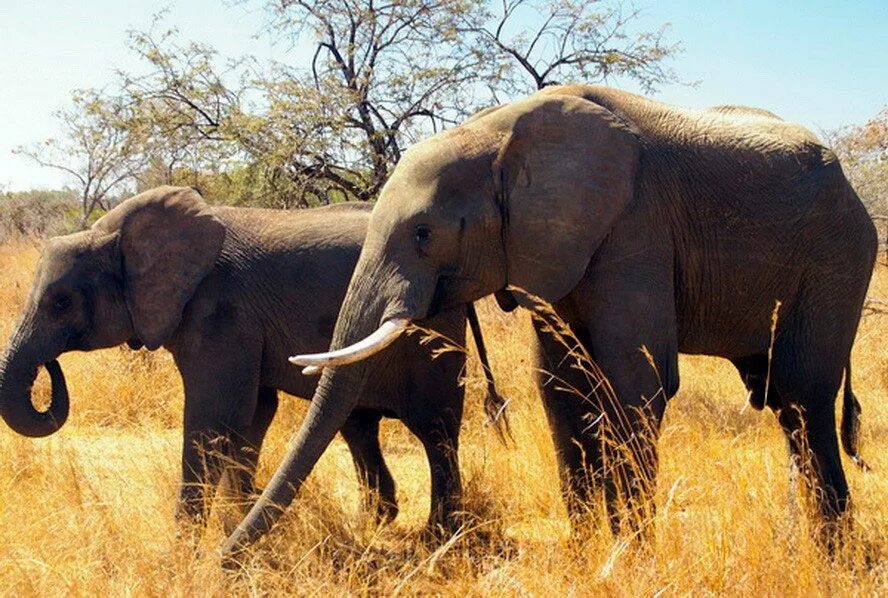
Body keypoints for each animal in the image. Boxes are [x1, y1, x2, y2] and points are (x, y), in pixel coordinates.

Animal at [0, 186, 506, 536]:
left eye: (61, 303)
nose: (49, 368)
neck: (114, 234)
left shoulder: (220, 312)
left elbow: (214, 414)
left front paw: (185, 545)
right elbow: (253, 415)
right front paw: (236, 520)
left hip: (433, 329)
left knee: (435, 427)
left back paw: (441, 533)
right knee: (358, 424)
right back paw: (376, 521)